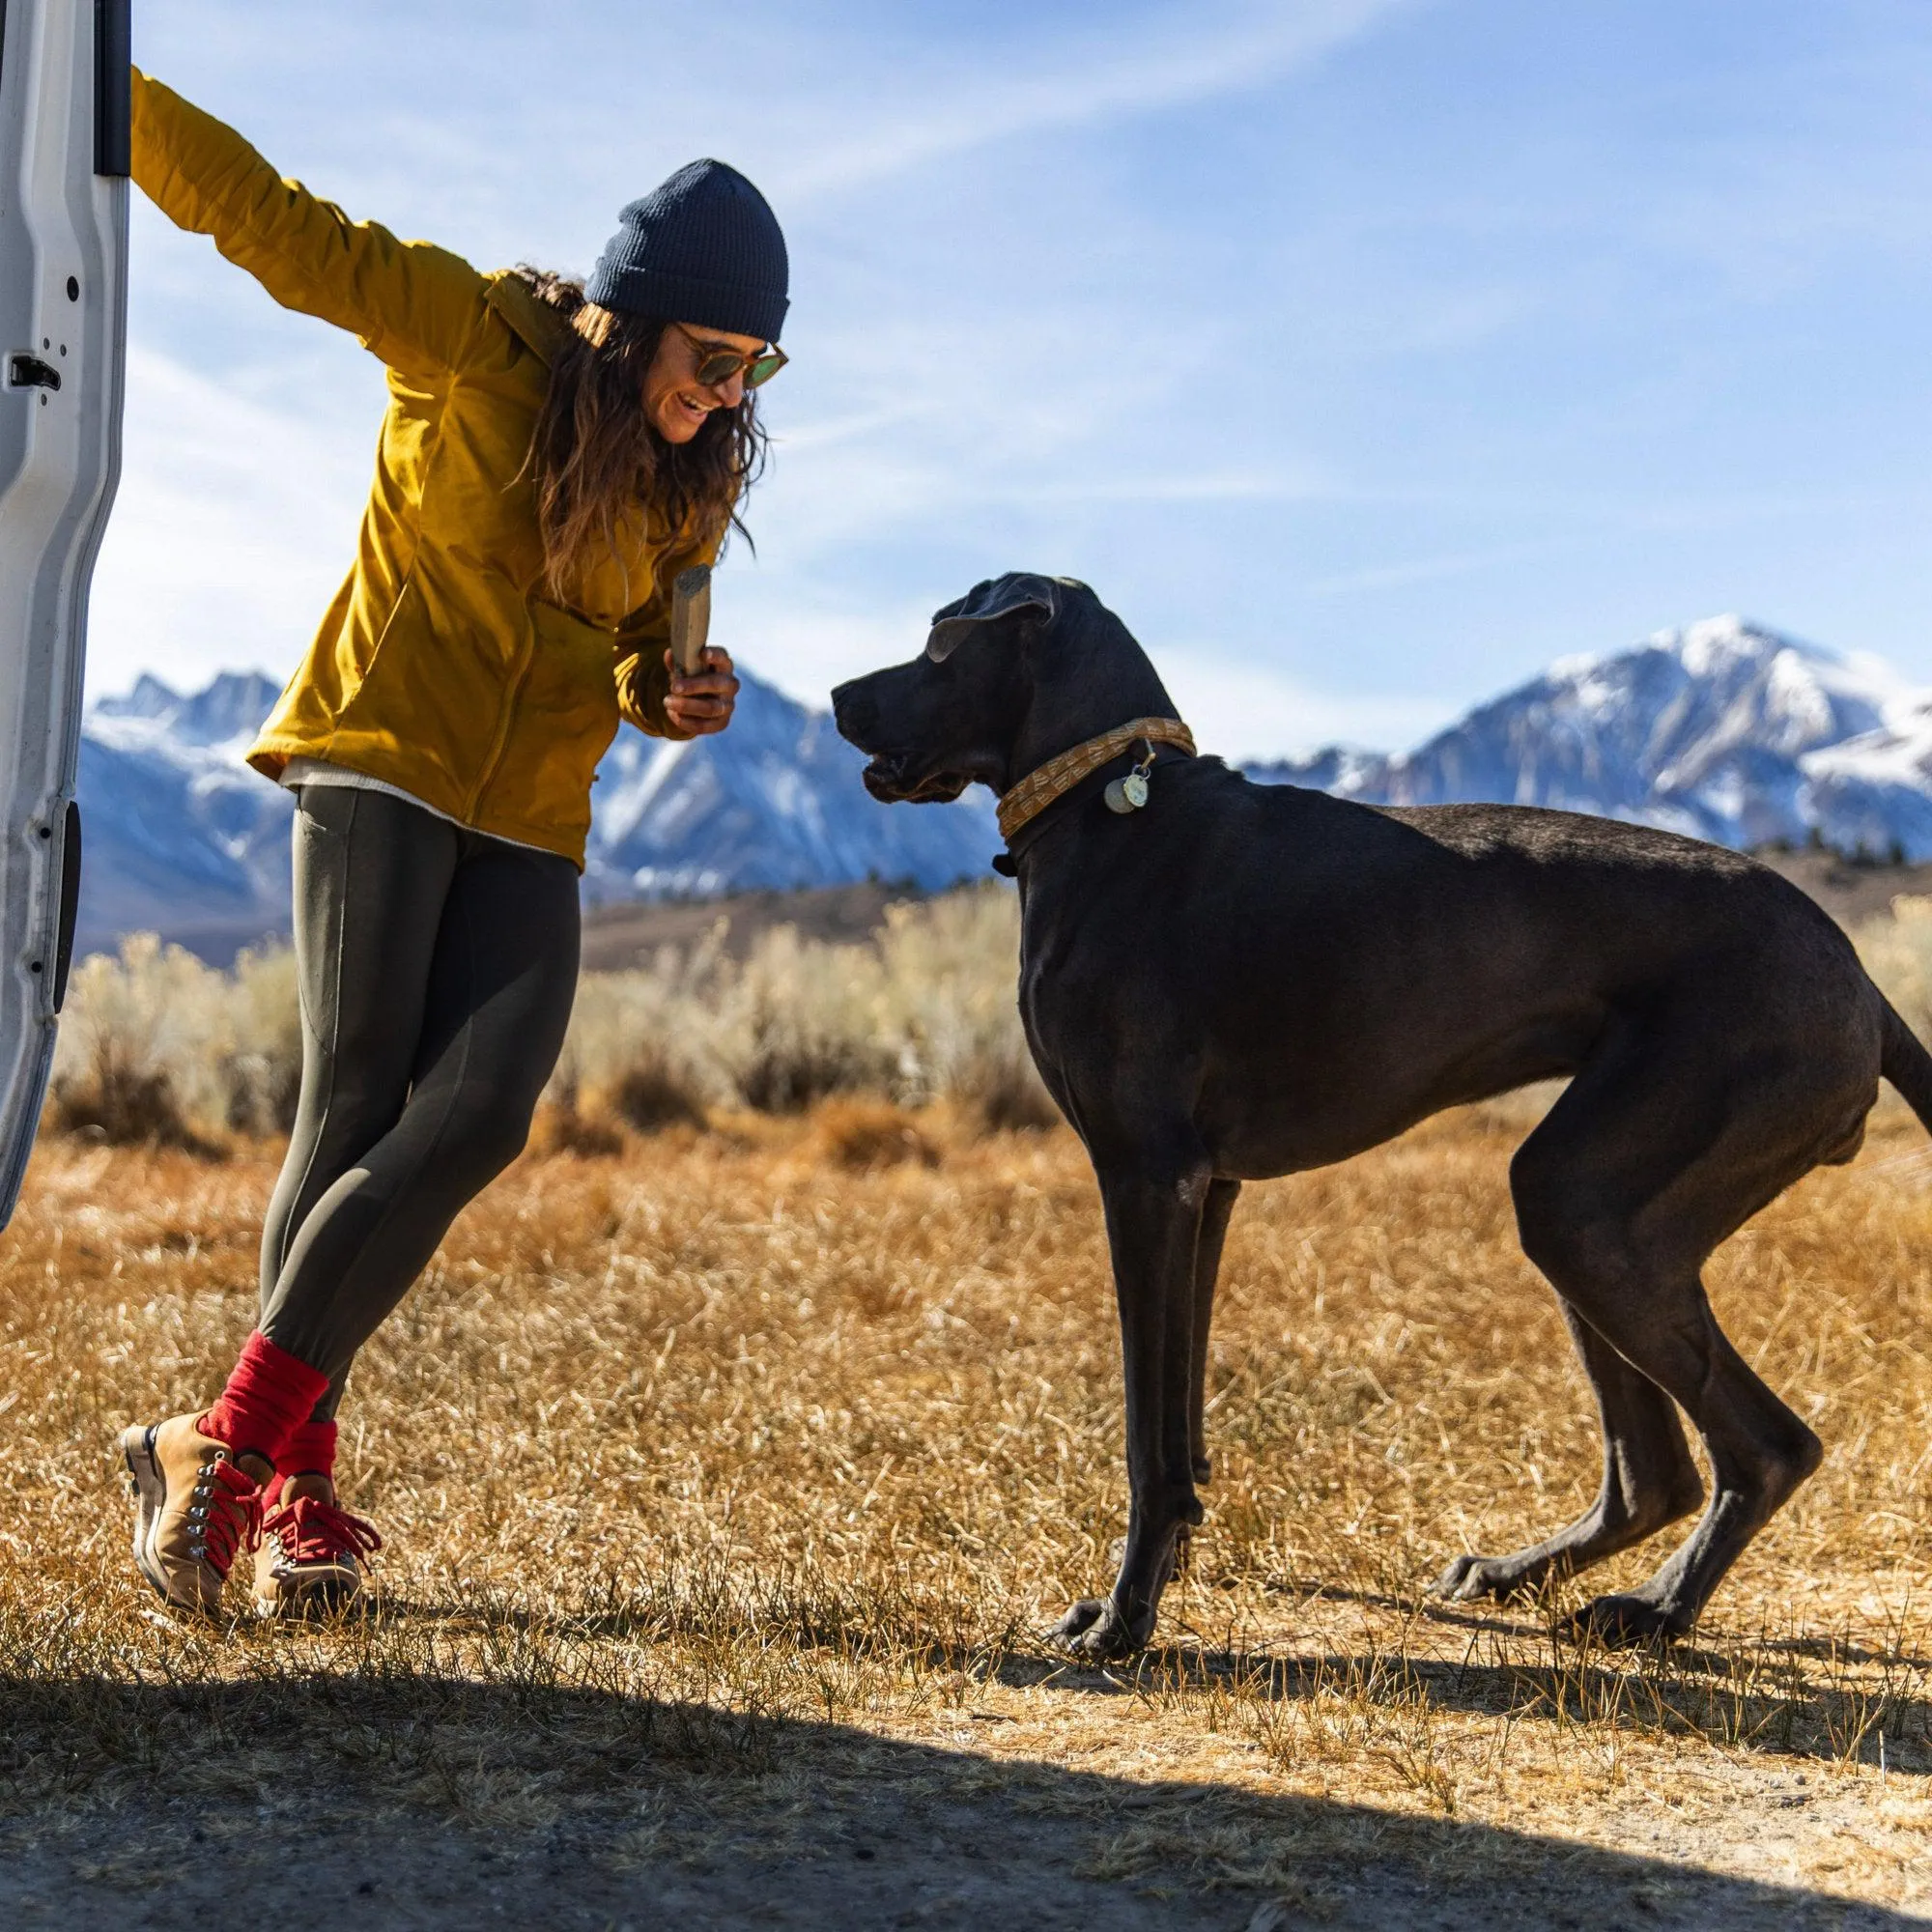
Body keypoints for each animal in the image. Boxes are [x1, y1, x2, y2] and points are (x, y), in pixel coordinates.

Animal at [831, 572, 1932, 1662]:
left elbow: (1147, 1436)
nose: (839, 694)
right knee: (1654, 1474)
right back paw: (1519, 1573)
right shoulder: (1205, 1190)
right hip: (1596, 1211)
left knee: (1769, 1445)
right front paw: (1167, 1572)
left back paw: (1656, 1609)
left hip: (1598, 1201)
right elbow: (1181, 1416)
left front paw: (1122, 1618)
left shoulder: (1144, 1176)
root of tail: (1862, 982)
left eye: (939, 641)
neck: (1112, 808)